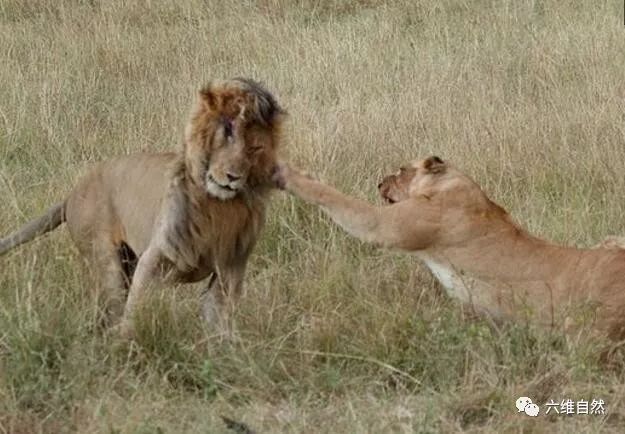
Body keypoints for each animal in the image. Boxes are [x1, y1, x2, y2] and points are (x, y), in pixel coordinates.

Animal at [1, 78, 284, 336]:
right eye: (225, 136)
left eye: (254, 148)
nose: (233, 176)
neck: (217, 208)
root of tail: (72, 193)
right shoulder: (154, 259)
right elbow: (135, 309)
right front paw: (125, 343)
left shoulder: (231, 270)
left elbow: (219, 321)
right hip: (107, 263)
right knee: (113, 306)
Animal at [276, 158, 624, 340]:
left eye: (401, 170)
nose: (378, 182)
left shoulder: (387, 226)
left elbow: (335, 198)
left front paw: (287, 174)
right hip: (612, 237)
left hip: (582, 326)